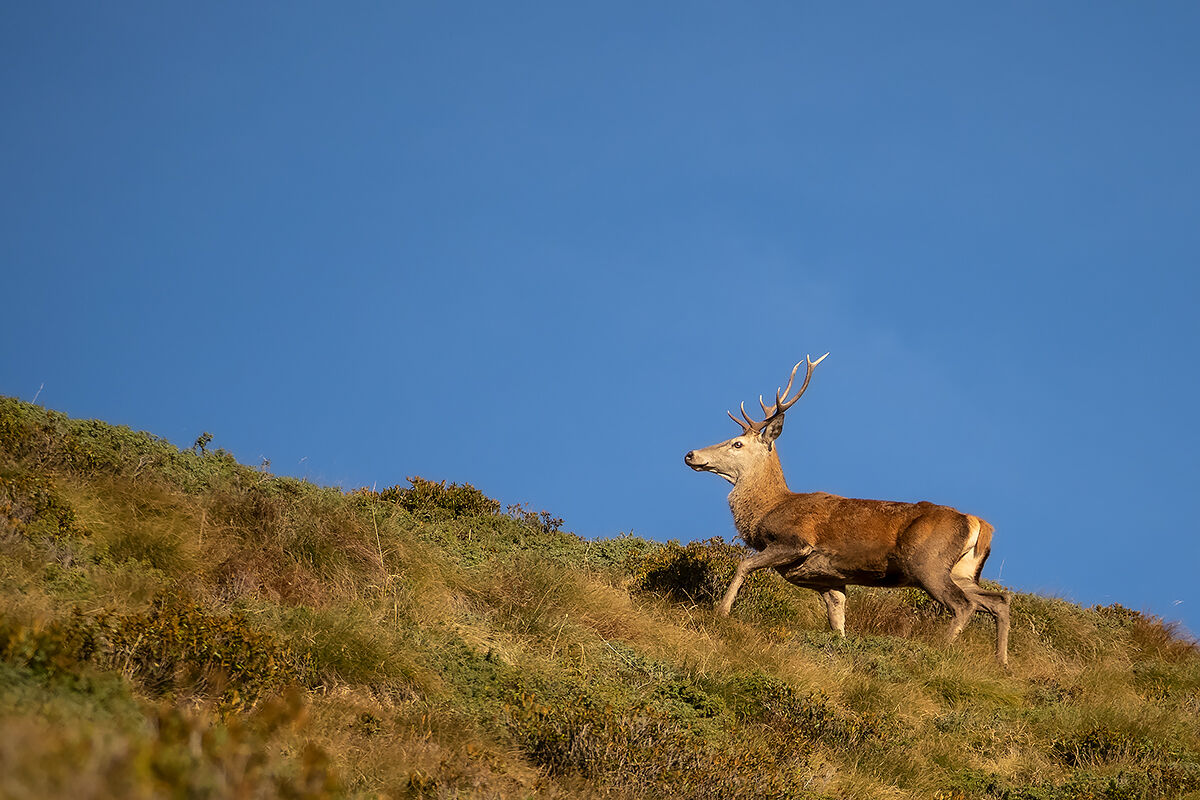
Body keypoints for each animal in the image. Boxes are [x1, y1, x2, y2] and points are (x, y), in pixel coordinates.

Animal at [684, 355, 1011, 665]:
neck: (769, 509)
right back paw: (1001, 662)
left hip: (928, 562)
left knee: (964, 604)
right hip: (963, 571)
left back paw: (940, 649)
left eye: (737, 443)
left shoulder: (795, 542)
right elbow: (837, 620)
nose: (690, 454)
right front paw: (840, 647)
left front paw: (721, 612)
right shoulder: (831, 580)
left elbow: (744, 565)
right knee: (999, 601)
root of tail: (979, 524)